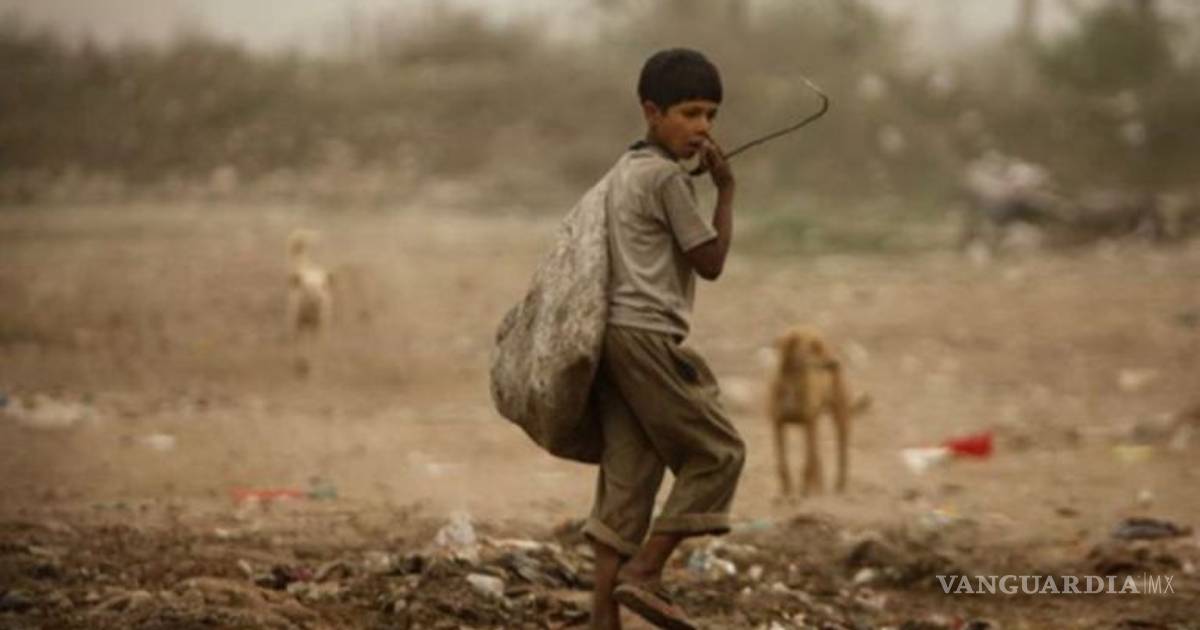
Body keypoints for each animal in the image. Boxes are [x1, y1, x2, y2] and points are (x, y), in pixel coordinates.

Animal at [767, 326, 869, 497]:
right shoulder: (777, 424)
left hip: (839, 419)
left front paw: (803, 493)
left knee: (840, 456)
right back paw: (819, 489)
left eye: (821, 345)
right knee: (817, 457)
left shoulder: (808, 423)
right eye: (814, 347)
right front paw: (786, 493)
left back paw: (837, 488)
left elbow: (807, 464)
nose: (836, 363)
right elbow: (782, 464)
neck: (792, 380)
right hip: (815, 424)